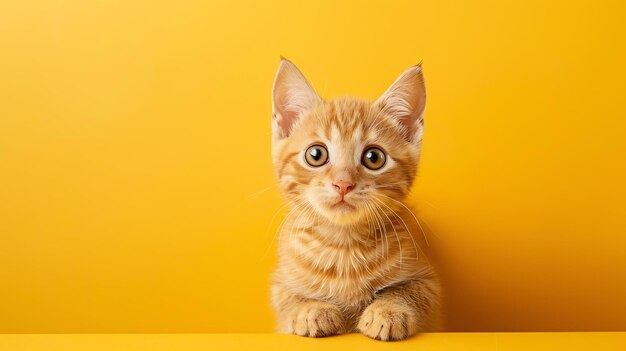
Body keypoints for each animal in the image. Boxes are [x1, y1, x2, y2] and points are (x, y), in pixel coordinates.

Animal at [268, 59, 438, 342]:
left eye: (373, 158)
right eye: (316, 154)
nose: (343, 184)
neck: (343, 245)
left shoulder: (427, 281)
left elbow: (409, 291)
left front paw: (388, 311)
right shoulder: (281, 282)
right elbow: (290, 298)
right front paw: (310, 310)